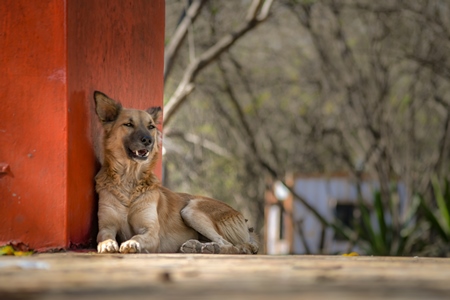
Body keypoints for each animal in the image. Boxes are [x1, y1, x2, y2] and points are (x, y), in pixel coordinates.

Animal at [93, 90, 258, 254]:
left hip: (191, 211)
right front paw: (107, 244)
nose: (148, 140)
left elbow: (138, 237)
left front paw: (132, 243)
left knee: (231, 246)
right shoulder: (106, 226)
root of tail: (241, 216)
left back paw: (209, 248)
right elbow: (104, 236)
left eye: (151, 126)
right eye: (128, 124)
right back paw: (196, 246)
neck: (129, 178)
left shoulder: (151, 232)